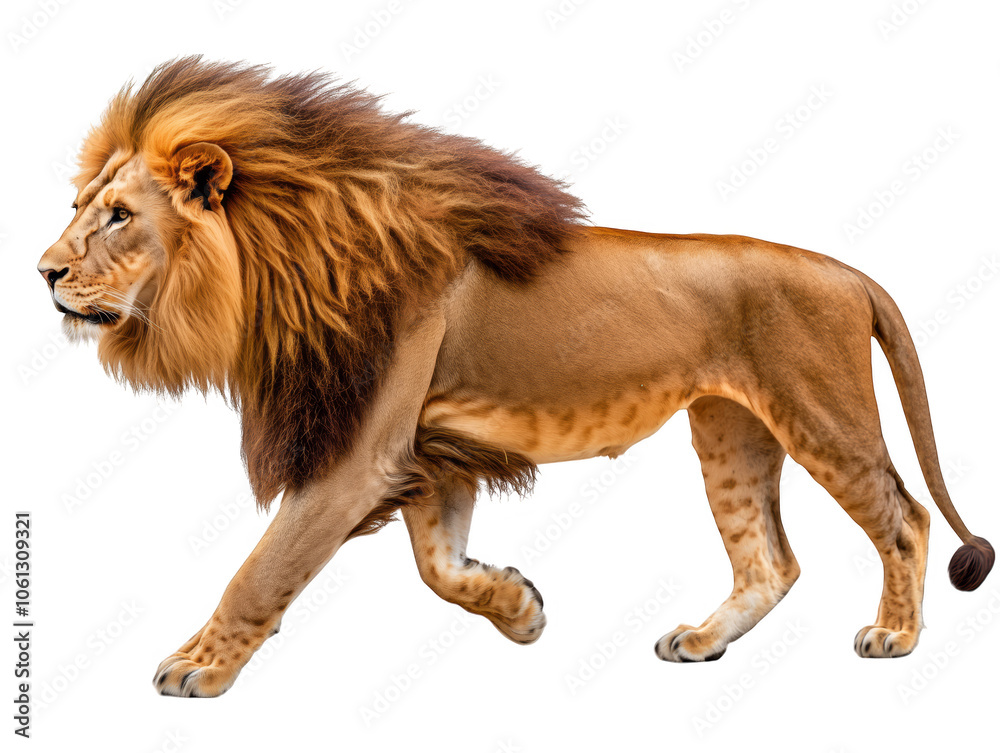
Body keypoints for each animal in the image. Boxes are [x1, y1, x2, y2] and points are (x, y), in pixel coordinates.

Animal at [38, 57, 993, 697]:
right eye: (79, 208)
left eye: (119, 216)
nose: (43, 271)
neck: (281, 264)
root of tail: (850, 273)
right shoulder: (430, 451)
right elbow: (436, 565)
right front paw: (520, 607)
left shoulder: (358, 454)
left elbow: (263, 568)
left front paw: (198, 666)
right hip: (730, 430)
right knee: (771, 560)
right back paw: (700, 640)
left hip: (820, 410)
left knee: (903, 516)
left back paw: (895, 635)